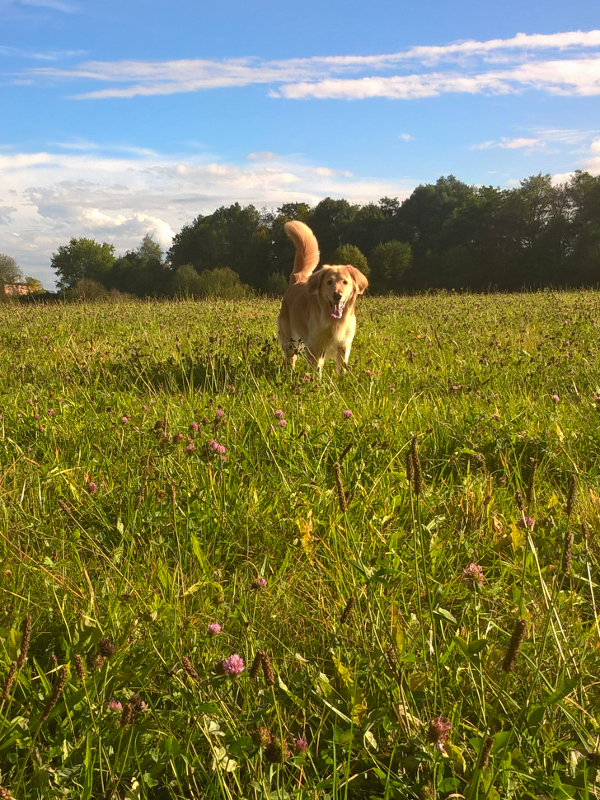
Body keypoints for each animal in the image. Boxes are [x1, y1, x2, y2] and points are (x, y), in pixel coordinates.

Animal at [278, 220, 370, 374]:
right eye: (329, 282)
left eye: (345, 282)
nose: (337, 295)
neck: (334, 321)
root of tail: (297, 280)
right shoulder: (315, 347)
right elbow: (316, 370)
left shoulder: (344, 346)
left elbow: (342, 368)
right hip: (290, 340)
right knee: (290, 358)